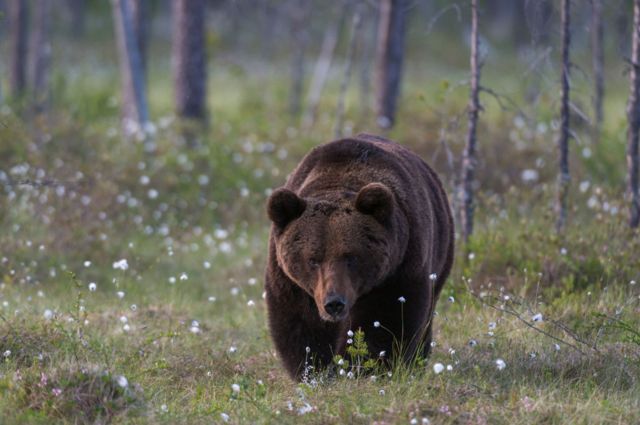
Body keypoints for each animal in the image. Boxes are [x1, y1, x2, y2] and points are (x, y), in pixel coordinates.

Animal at [262, 132, 452, 378]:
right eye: (312, 260)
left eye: (351, 257)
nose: (334, 303)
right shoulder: (290, 281)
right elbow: (301, 325)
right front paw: (314, 369)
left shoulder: (398, 269)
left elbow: (386, 320)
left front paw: (362, 366)